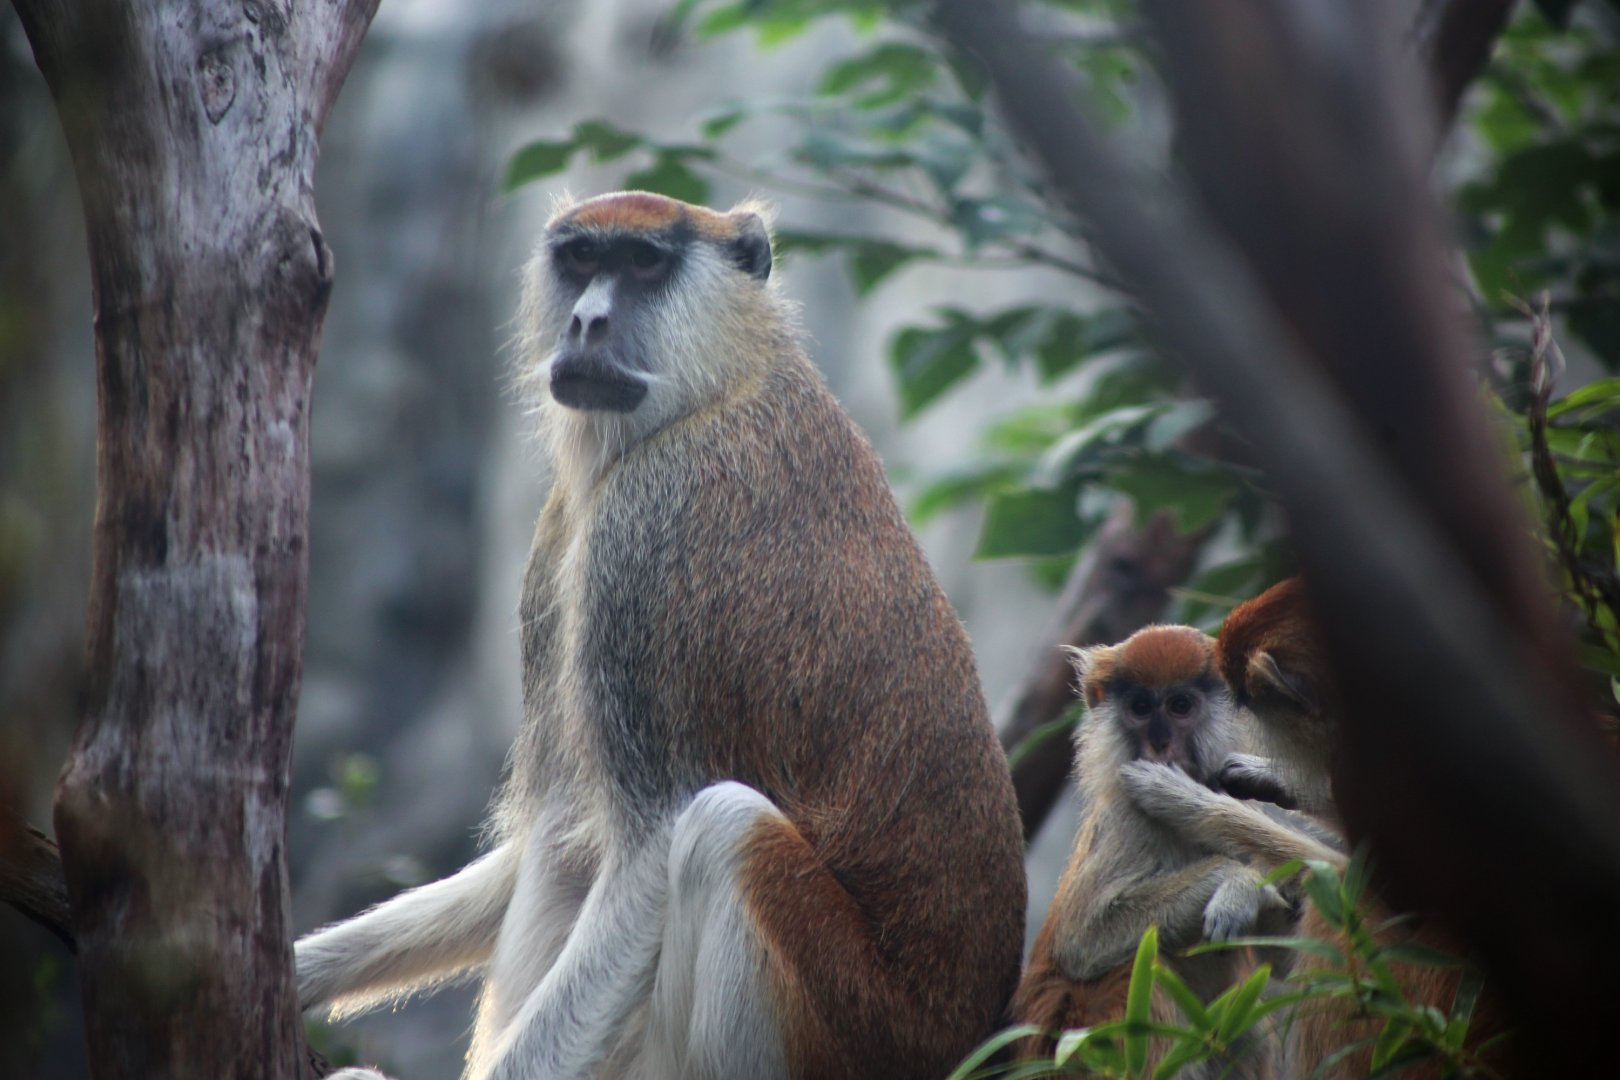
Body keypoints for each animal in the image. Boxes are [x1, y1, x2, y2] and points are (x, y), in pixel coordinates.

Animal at [293, 191, 1027, 1080]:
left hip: (851, 1026)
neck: (721, 383)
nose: (586, 321)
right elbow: (552, 833)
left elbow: (649, 852)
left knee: (725, 827)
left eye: (644, 264)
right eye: (581, 259)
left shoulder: (645, 535)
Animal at [1011, 625, 1289, 1078]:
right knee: (1141, 973)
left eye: (1180, 706)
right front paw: (1236, 882)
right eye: (1140, 708)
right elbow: (1082, 941)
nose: (1159, 744)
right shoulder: (1128, 814)